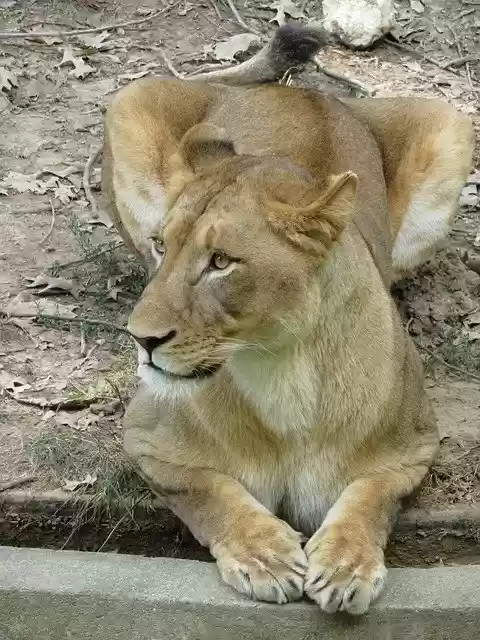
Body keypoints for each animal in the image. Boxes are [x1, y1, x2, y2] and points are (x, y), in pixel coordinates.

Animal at [102, 26, 473, 614]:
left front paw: (346, 564)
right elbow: (209, 491)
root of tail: (309, 92)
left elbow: (370, 496)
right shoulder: (146, 437)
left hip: (451, 124)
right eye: (165, 246)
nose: (141, 339)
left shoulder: (414, 447)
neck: (282, 365)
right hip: (132, 99)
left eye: (221, 262)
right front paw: (264, 554)